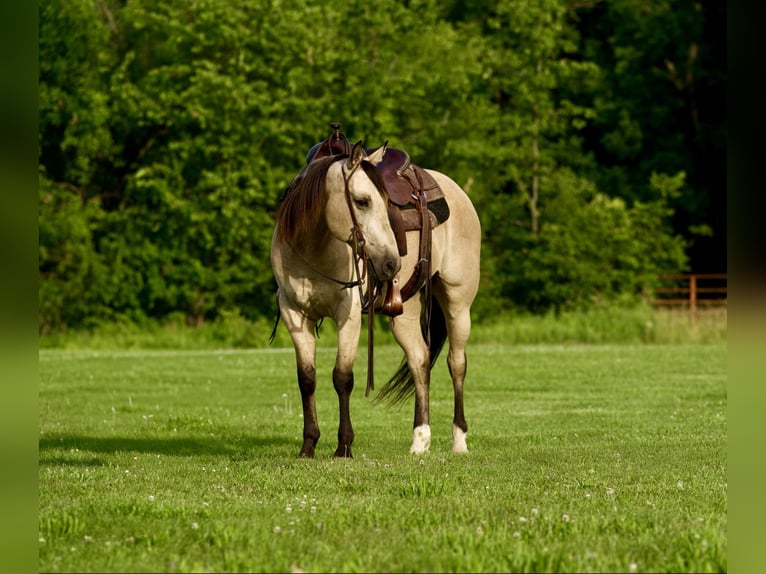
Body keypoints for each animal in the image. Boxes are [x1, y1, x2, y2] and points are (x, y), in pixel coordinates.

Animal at [270, 136, 481, 458]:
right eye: (362, 201)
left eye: (385, 201)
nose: (392, 263)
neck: (314, 247)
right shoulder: (294, 313)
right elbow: (306, 378)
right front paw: (308, 445)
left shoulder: (348, 313)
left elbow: (342, 377)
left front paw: (344, 445)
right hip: (405, 312)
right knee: (420, 361)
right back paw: (420, 439)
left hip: (458, 303)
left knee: (456, 363)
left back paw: (459, 439)